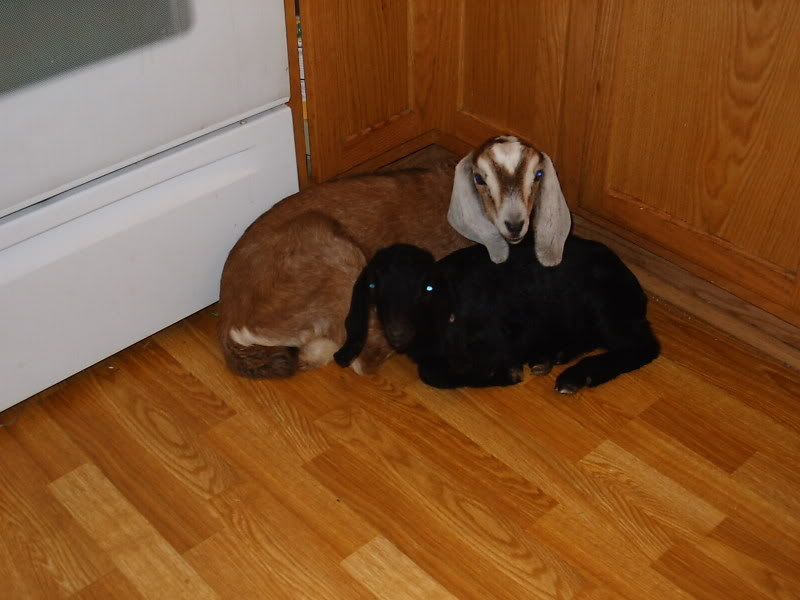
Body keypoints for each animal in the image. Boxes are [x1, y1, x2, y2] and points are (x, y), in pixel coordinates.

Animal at [218, 136, 572, 378]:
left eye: (537, 176)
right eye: (480, 178)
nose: (515, 224)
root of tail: (231, 320)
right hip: (335, 256)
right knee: (363, 356)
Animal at [334, 234, 660, 393]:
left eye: (427, 287)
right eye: (373, 285)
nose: (398, 333)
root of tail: (635, 286)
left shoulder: (502, 340)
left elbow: (434, 373)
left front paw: (504, 374)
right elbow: (431, 371)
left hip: (604, 306)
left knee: (643, 347)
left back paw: (577, 376)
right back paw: (552, 356)